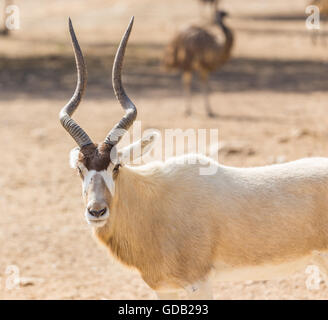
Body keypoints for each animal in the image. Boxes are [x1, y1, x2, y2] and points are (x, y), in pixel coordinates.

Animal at [60, 17, 328, 298]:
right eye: (79, 168)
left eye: (116, 166)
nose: (97, 211)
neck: (153, 201)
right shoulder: (164, 288)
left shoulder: (198, 283)